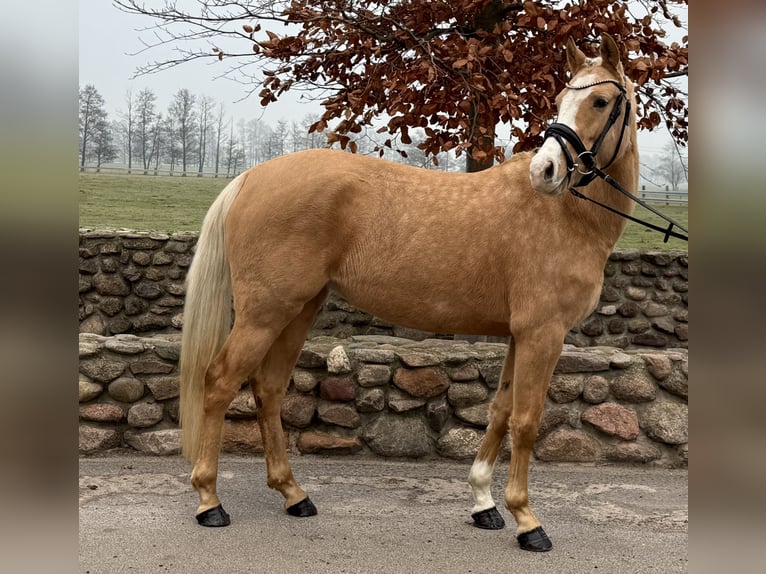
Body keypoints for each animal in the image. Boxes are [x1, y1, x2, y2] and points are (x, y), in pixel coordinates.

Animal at [182, 35, 640, 552]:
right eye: (563, 99)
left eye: (599, 101)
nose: (546, 170)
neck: (565, 216)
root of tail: (251, 178)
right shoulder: (543, 334)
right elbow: (526, 420)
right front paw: (527, 520)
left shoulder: (520, 335)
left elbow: (500, 410)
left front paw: (484, 503)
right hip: (265, 312)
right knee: (220, 382)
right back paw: (209, 501)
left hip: (297, 310)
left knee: (269, 388)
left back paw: (293, 493)